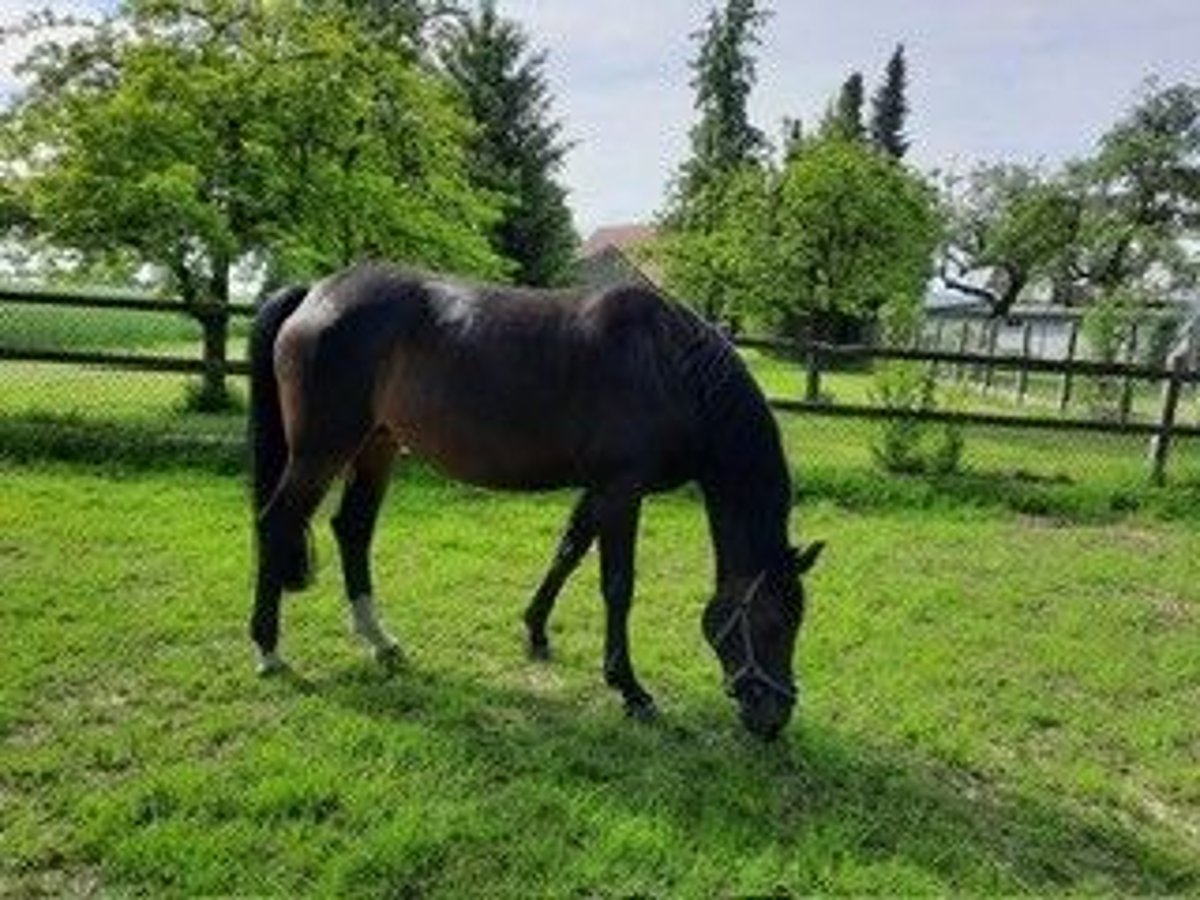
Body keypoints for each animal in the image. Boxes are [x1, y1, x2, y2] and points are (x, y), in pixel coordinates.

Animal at [248, 262, 820, 739]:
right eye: (774, 622)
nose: (774, 718)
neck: (669, 365)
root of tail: (315, 294)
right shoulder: (622, 489)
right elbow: (618, 585)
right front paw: (629, 689)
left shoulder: (600, 488)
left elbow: (567, 552)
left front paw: (536, 632)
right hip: (321, 450)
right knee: (277, 523)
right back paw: (268, 650)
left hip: (376, 445)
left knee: (353, 529)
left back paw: (379, 640)